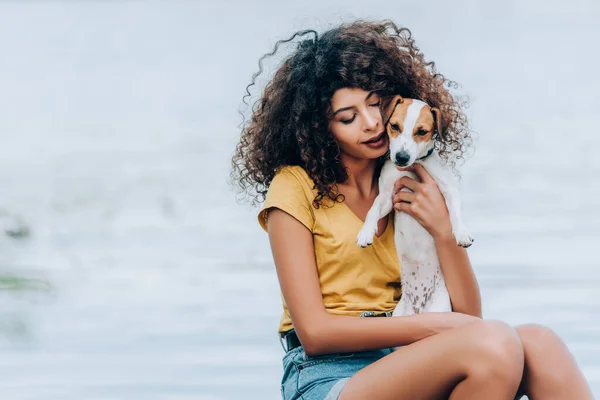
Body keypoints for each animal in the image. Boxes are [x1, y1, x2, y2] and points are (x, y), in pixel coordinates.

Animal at [356, 95, 474, 318]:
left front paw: (462, 233)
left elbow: (455, 213)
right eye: (394, 126)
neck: (411, 167)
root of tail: (418, 307)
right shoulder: (388, 197)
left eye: (421, 131)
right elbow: (373, 209)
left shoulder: (448, 189)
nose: (401, 157)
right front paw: (365, 232)